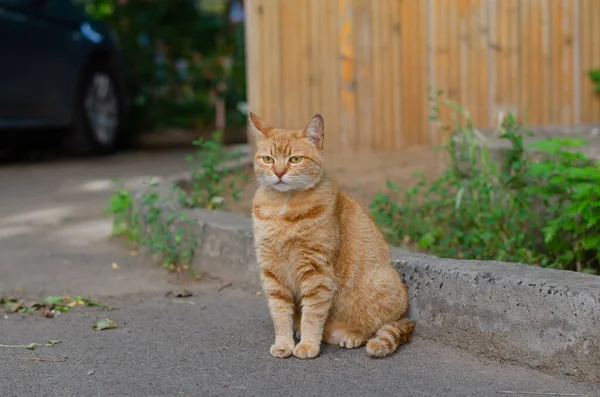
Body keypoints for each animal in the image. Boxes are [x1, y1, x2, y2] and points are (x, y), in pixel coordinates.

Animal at [247, 112, 412, 358]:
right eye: (268, 159)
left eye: (295, 159)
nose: (279, 173)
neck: (283, 209)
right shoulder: (272, 273)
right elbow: (280, 314)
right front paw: (285, 343)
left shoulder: (317, 272)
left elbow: (312, 315)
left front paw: (307, 345)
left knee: (374, 327)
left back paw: (352, 335)